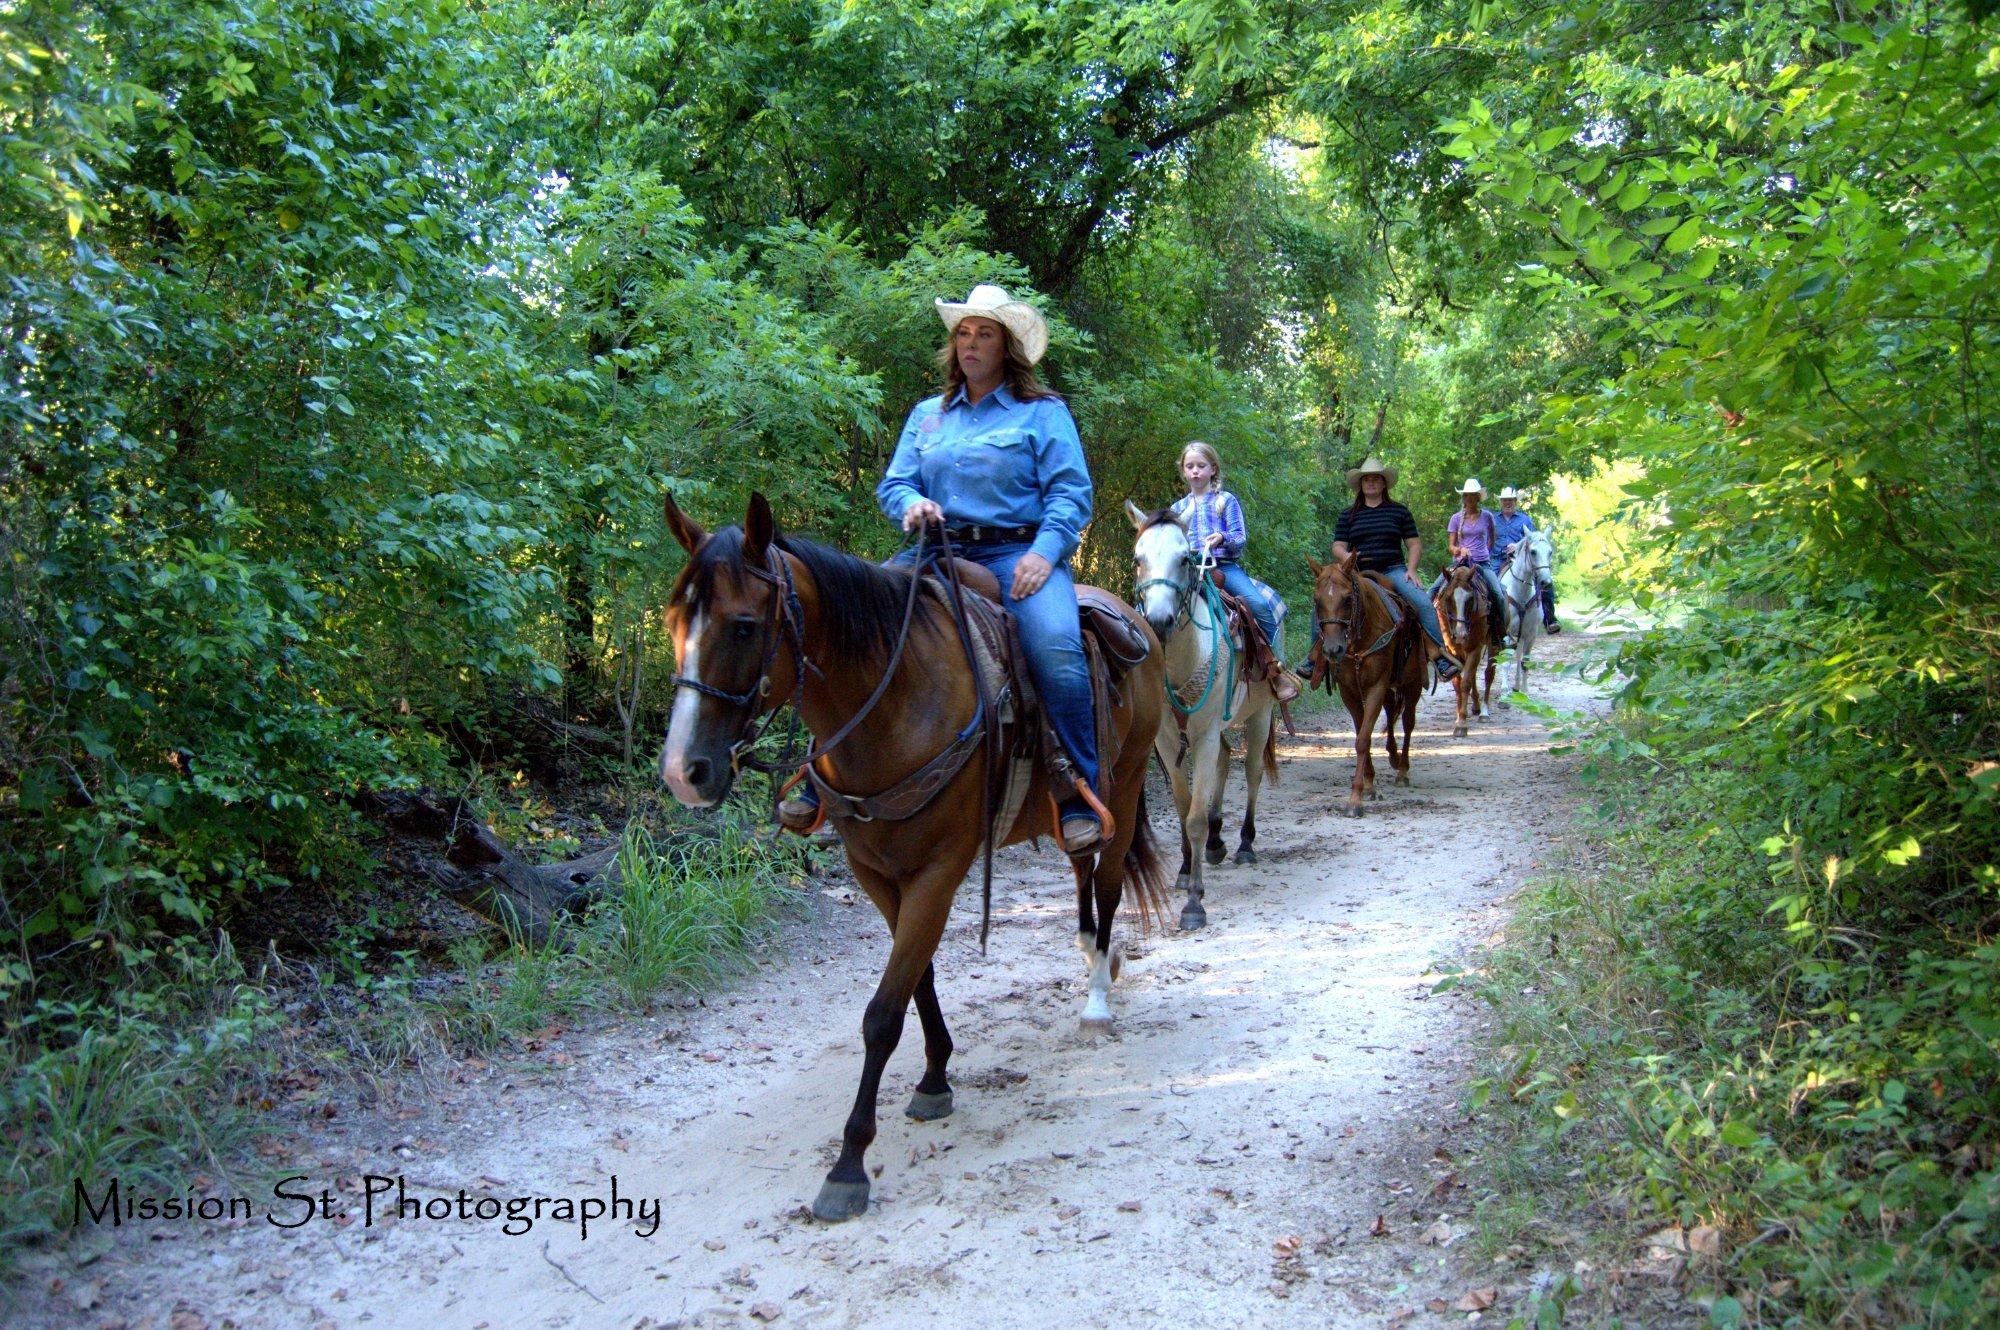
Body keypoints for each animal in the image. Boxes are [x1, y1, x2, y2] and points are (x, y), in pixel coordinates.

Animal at [656, 492, 1168, 1216]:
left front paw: (849, 1165)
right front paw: (934, 1077)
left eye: (744, 626)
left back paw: (1097, 997)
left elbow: (882, 1013)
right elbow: (916, 977)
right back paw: (1092, 954)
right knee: (1081, 869)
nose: (683, 772)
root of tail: (1133, 618)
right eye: (675, 620)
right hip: (1076, 811)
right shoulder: (873, 870)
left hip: (1123, 790)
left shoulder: (939, 871)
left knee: (1109, 885)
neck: (894, 705)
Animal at [1128, 504, 1280, 928]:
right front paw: (1184, 871)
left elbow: (1194, 816)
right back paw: (1215, 843)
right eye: (1137, 559)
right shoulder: (1167, 741)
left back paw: (1244, 844)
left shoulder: (1207, 734)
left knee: (1252, 771)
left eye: (1185, 559)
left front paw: (1194, 902)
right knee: (1227, 761)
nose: (1159, 621)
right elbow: (1183, 811)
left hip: (1260, 714)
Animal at [1304, 548, 1432, 808]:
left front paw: (1355, 798)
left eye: (1347, 599)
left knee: (1408, 722)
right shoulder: (1349, 692)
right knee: (1392, 714)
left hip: (1412, 683)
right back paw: (1393, 756)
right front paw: (1369, 784)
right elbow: (1361, 733)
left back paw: (1402, 771)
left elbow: (1363, 738)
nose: (1333, 650)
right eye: (1317, 601)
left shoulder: (1376, 687)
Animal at [1432, 560, 1496, 736]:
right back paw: (1475, 707)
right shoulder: (1451, 649)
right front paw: (1458, 717)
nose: (1460, 635)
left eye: (1470, 599)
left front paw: (1461, 723)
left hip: (1492, 644)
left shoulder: (1476, 647)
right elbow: (1457, 683)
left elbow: (1465, 682)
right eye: (1448, 599)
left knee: (1488, 673)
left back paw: (1484, 713)